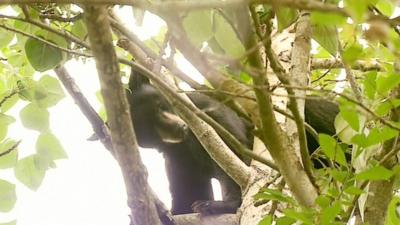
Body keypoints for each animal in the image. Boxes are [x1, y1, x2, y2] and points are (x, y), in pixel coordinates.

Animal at [126, 71, 340, 215]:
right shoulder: (177, 157)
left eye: (160, 106)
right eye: (149, 130)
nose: (179, 127)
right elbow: (187, 190)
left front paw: (221, 204)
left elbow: (232, 146)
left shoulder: (206, 112)